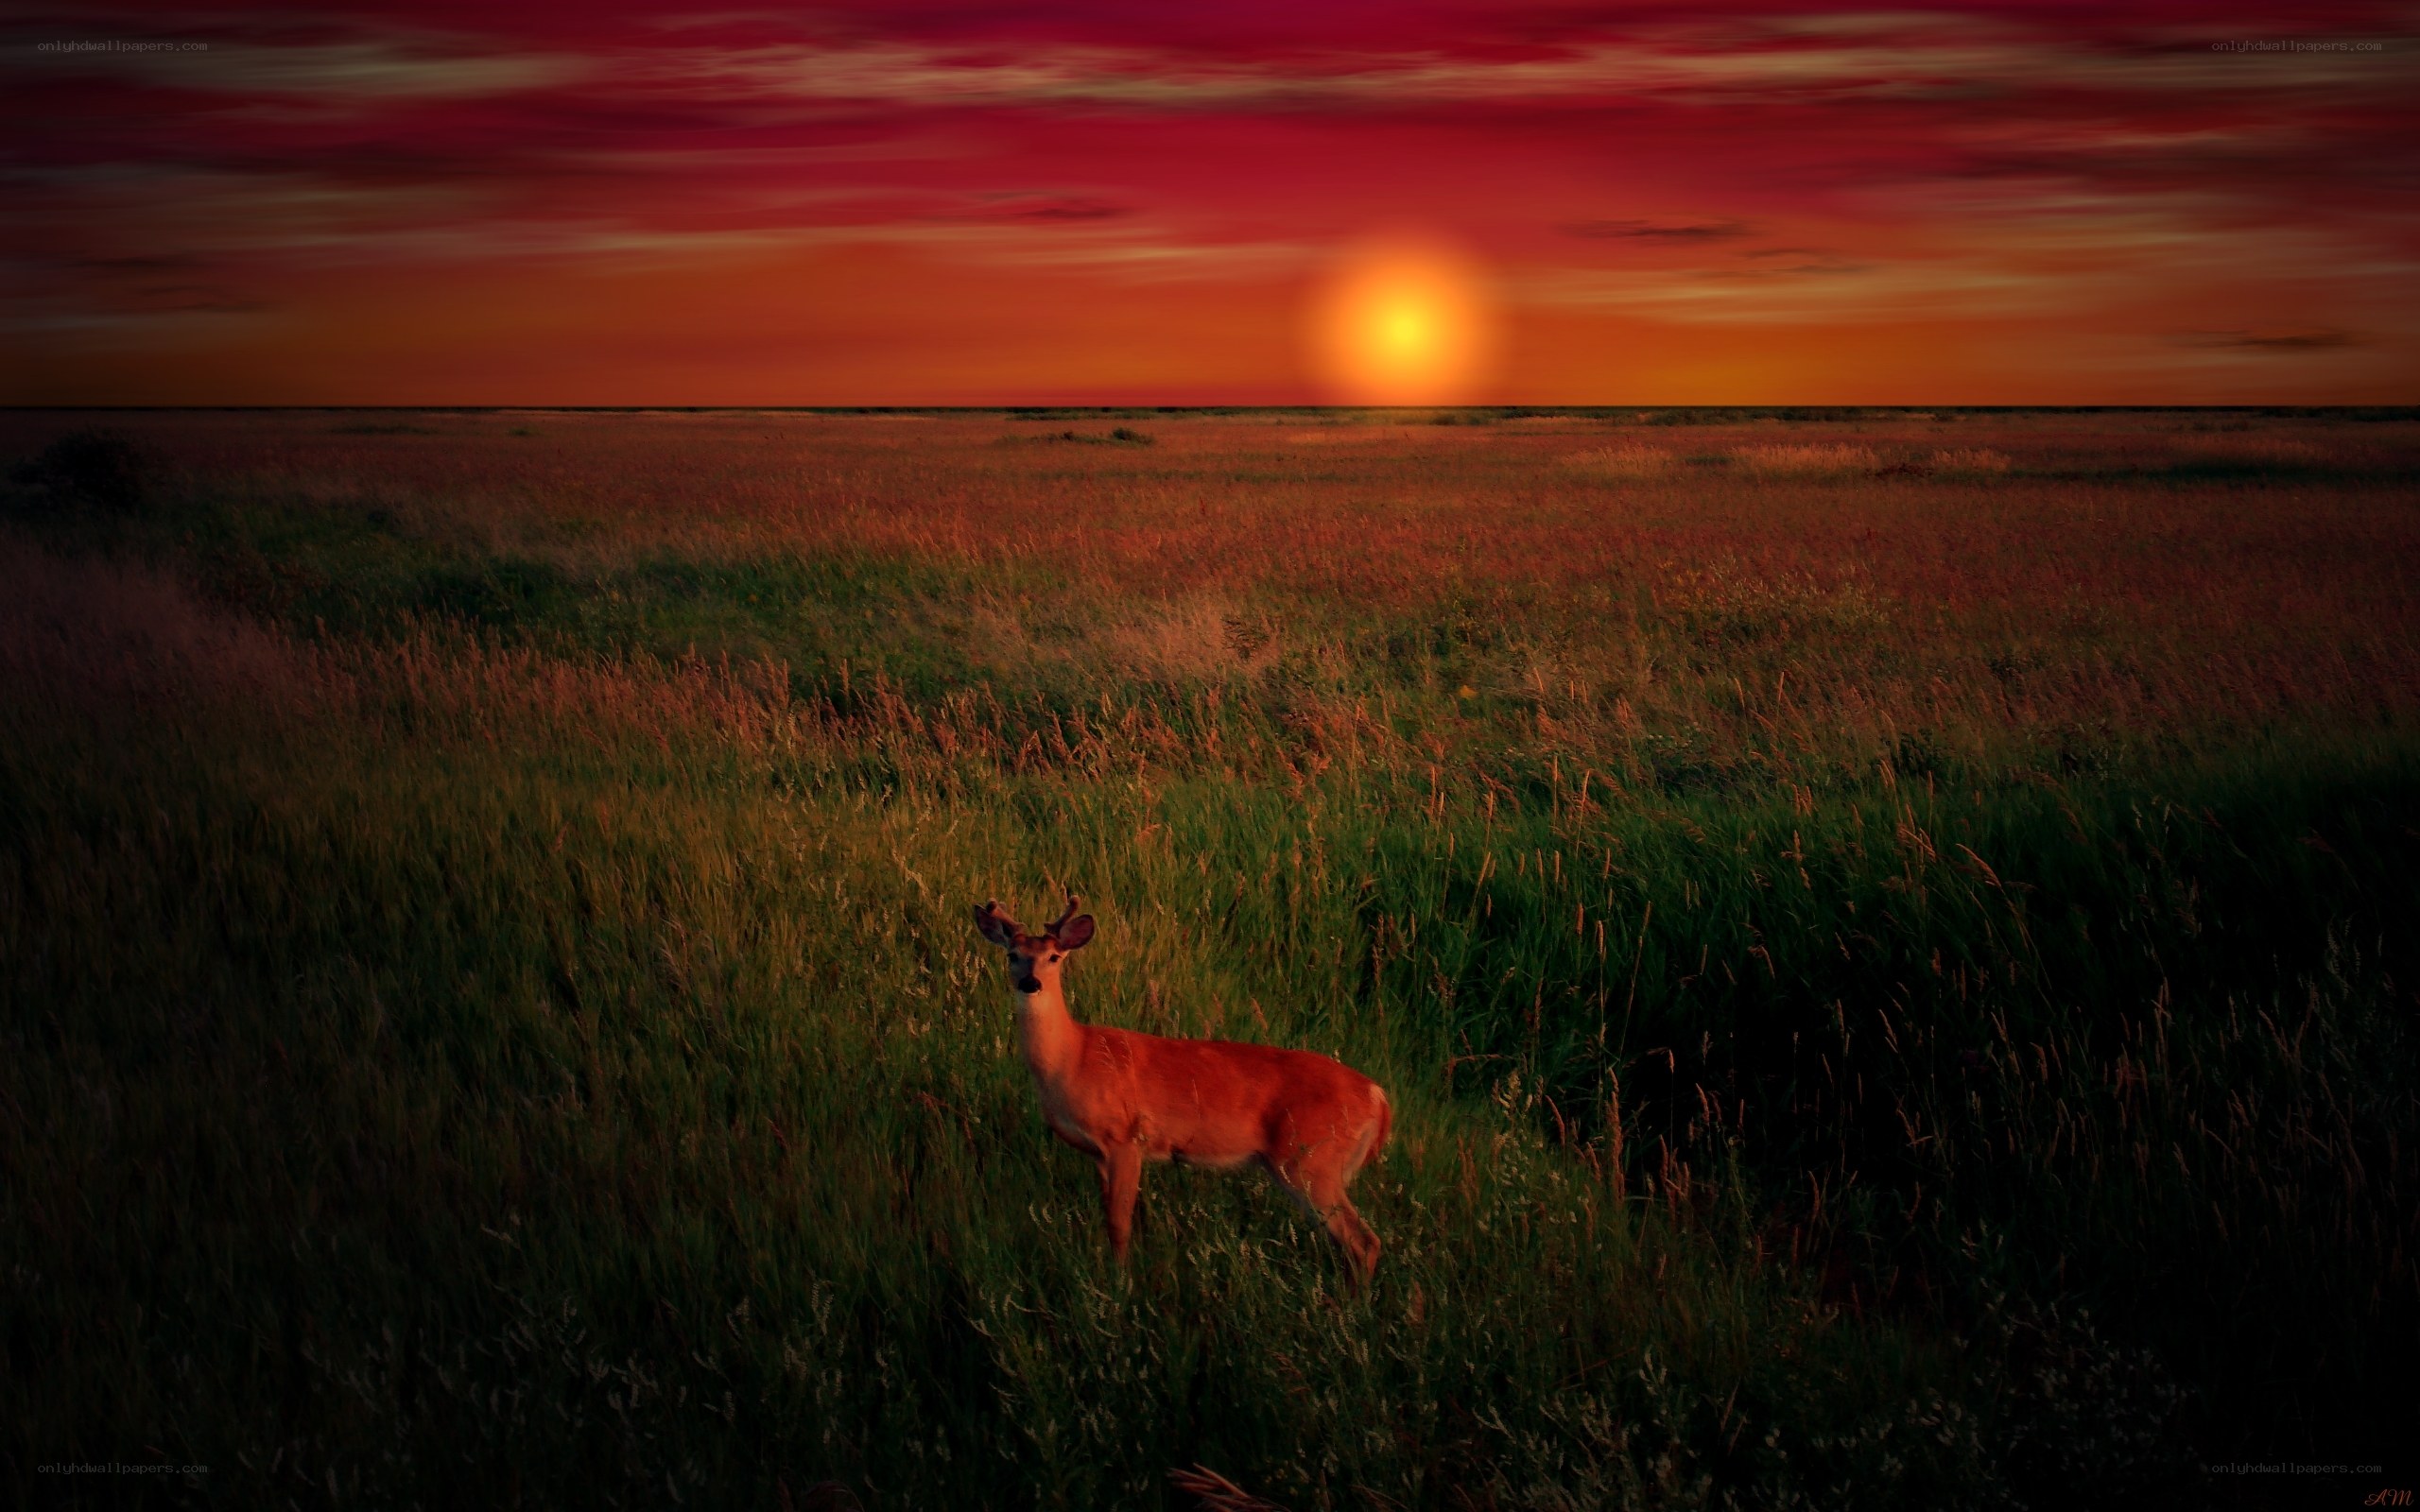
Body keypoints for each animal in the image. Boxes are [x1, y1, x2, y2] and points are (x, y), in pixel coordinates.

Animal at [973, 895, 1391, 1287]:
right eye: (1012, 955)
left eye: (1055, 957)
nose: (1031, 983)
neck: (1073, 1058)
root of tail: (1378, 1097)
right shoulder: (1099, 1154)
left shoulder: (1126, 1137)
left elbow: (1119, 1226)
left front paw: (1121, 1287)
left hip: (1312, 1159)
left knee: (1364, 1241)